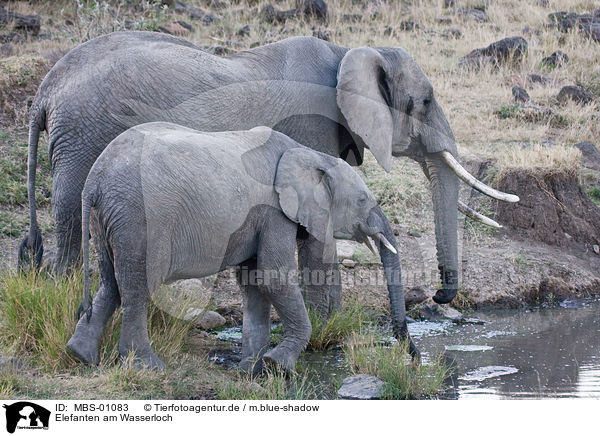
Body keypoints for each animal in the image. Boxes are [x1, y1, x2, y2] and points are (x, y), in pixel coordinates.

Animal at [65, 122, 400, 372]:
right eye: (362, 200)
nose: (403, 345)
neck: (308, 154)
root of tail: (94, 180)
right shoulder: (273, 211)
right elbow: (273, 277)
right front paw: (278, 365)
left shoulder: (258, 219)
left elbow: (254, 282)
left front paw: (251, 370)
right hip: (139, 218)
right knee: (136, 287)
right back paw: (147, 367)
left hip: (108, 219)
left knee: (112, 281)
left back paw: (80, 355)